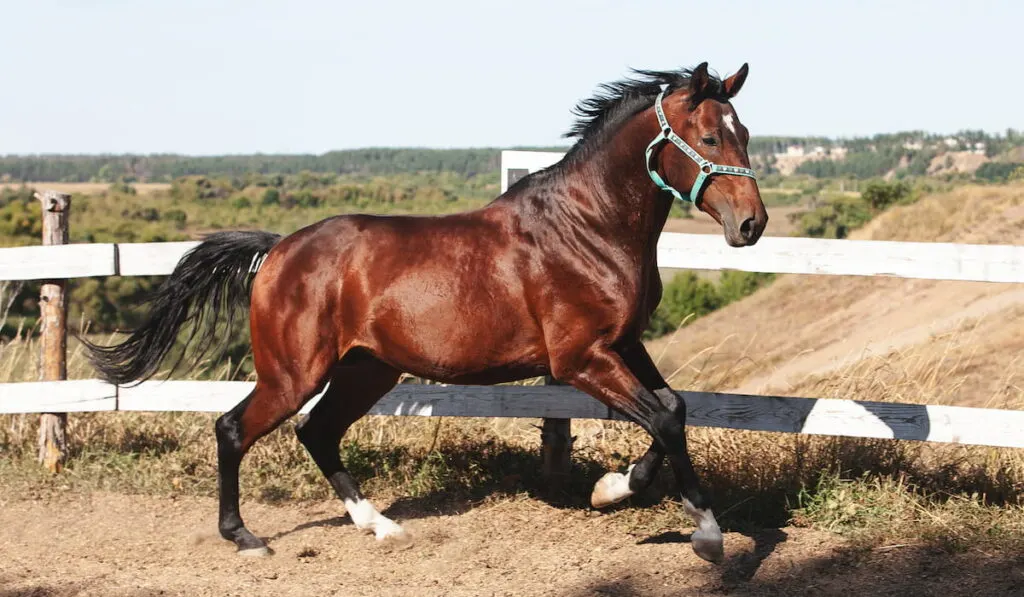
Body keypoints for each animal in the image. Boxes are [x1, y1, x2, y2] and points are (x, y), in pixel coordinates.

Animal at [81, 61, 770, 565]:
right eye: (710, 136)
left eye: (745, 135)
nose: (752, 224)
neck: (586, 227)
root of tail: (277, 250)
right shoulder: (580, 359)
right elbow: (664, 417)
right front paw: (704, 534)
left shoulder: (623, 344)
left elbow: (673, 410)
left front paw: (615, 490)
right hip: (293, 373)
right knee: (234, 428)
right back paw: (245, 538)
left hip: (366, 370)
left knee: (317, 432)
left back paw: (380, 526)